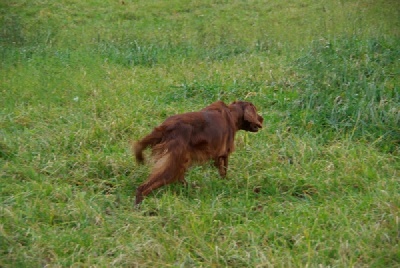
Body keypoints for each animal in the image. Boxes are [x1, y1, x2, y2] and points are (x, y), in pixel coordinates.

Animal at [133, 101, 264, 205]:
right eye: (256, 111)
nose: (262, 118)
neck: (232, 113)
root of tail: (164, 127)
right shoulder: (224, 153)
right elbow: (224, 170)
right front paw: (226, 182)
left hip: (180, 161)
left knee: (179, 178)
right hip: (173, 163)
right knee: (143, 188)